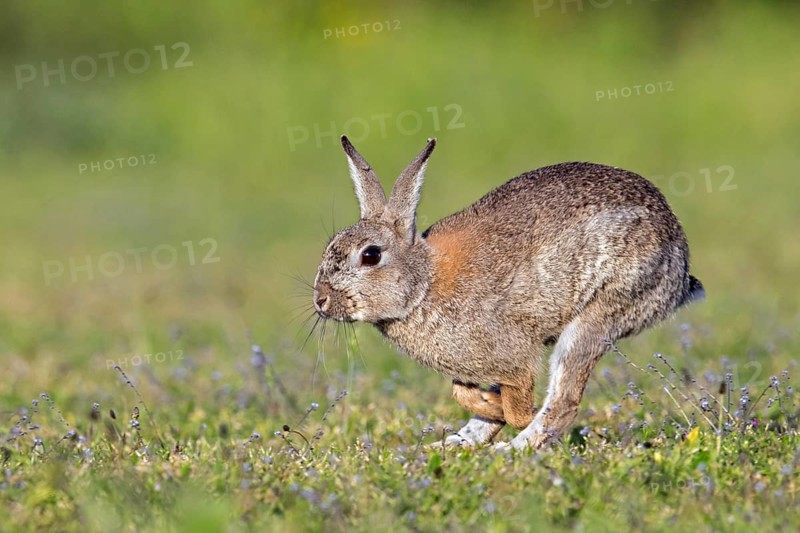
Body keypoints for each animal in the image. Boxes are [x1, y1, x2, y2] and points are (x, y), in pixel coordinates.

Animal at [312, 136, 704, 450]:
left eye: (371, 255)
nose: (321, 300)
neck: (423, 286)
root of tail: (679, 268)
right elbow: (462, 392)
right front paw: (491, 407)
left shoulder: (516, 355)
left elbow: (516, 403)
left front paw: (513, 413)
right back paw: (449, 446)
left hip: (598, 315)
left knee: (563, 402)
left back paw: (513, 450)